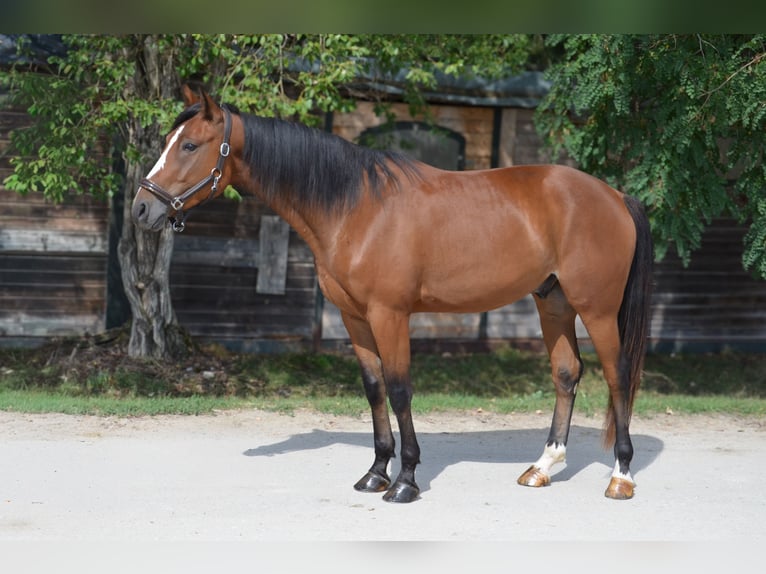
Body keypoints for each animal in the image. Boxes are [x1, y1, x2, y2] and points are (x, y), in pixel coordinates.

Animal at [132, 86, 653, 502]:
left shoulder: (390, 314)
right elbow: (374, 389)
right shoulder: (355, 318)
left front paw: (405, 481)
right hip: (553, 303)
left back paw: (621, 477)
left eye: (190, 145)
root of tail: (614, 195)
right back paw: (542, 468)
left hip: (597, 310)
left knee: (617, 375)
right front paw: (375, 473)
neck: (356, 207)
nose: (141, 209)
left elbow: (401, 390)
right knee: (567, 373)